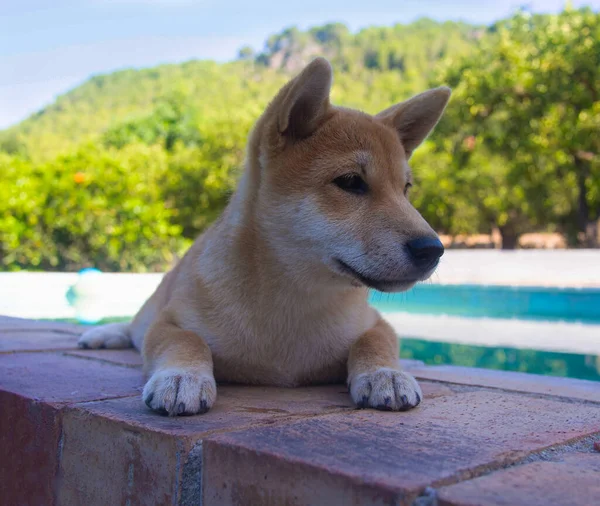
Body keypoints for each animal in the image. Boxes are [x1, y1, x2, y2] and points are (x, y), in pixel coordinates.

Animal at [77, 57, 448, 418]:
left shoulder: (374, 322)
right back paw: (103, 334)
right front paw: (182, 375)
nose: (433, 249)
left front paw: (387, 373)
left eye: (405, 189)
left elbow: (375, 341)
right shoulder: (170, 320)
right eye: (350, 182)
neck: (293, 303)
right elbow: (185, 341)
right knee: (134, 326)